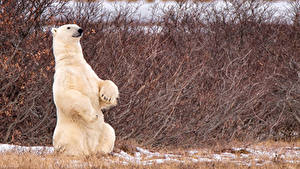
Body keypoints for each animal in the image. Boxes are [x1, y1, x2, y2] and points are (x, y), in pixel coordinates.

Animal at [51, 24, 118, 156]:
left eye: (76, 25)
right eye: (68, 27)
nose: (80, 30)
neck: (72, 62)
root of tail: (90, 148)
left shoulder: (89, 72)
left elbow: (103, 83)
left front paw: (107, 96)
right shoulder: (64, 76)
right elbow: (67, 94)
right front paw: (93, 115)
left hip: (102, 130)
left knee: (110, 131)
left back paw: (102, 152)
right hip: (71, 130)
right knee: (72, 140)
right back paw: (76, 153)